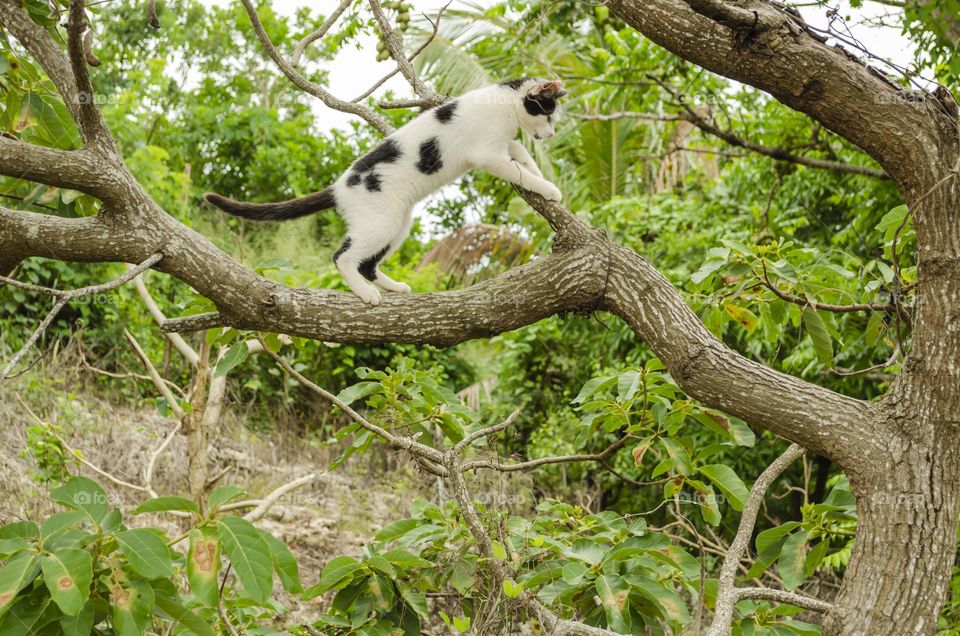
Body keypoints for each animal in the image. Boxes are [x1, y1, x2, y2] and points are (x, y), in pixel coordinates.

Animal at [202, 77, 564, 306]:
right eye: (547, 114)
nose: (551, 134)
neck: (505, 105)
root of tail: (338, 187)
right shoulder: (487, 153)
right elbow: (518, 170)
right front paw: (548, 189)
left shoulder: (504, 145)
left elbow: (522, 154)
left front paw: (540, 173)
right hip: (381, 224)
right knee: (343, 257)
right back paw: (366, 293)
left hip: (398, 222)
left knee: (367, 264)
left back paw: (393, 287)